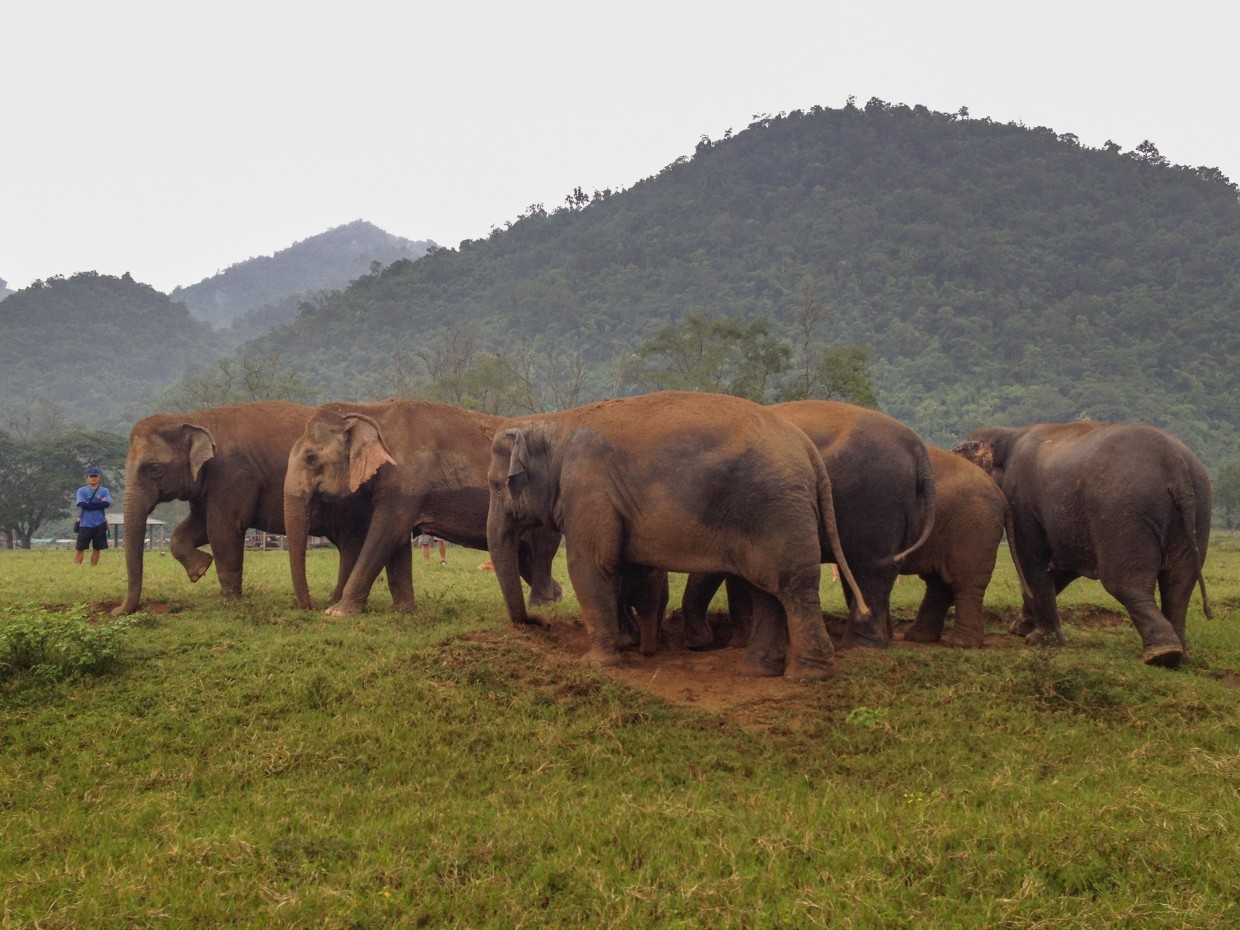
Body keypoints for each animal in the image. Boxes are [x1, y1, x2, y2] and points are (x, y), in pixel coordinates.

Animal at [113, 401, 396, 620]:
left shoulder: (233, 475)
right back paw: (332, 599)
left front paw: (228, 601)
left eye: (153, 468)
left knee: (350, 544)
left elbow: (223, 528)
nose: (116, 611)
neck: (195, 418)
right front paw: (199, 569)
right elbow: (193, 528)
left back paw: (334, 601)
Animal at [283, 396, 565, 615]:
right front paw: (401, 610)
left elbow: (387, 531)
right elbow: (397, 540)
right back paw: (557, 595)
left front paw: (337, 613)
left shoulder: (408, 481)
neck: (370, 410)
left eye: (311, 457)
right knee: (524, 555)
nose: (310, 607)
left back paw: (542, 605)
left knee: (540, 551)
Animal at [478, 389, 868, 679]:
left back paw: (807, 676)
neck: (556, 422)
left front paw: (596, 663)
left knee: (791, 585)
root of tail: (809, 451)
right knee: (764, 589)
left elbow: (591, 564)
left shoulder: (588, 490)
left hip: (775, 509)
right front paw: (625, 646)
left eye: (496, 485)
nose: (540, 624)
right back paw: (757, 671)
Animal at [957, 421, 1210, 669]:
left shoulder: (1021, 500)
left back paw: (1162, 654)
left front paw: (1038, 640)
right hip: (1199, 510)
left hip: (1124, 515)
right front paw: (1020, 629)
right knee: (1179, 586)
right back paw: (1179, 656)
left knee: (1126, 584)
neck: (1010, 433)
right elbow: (1060, 569)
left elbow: (1031, 559)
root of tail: (1177, 468)